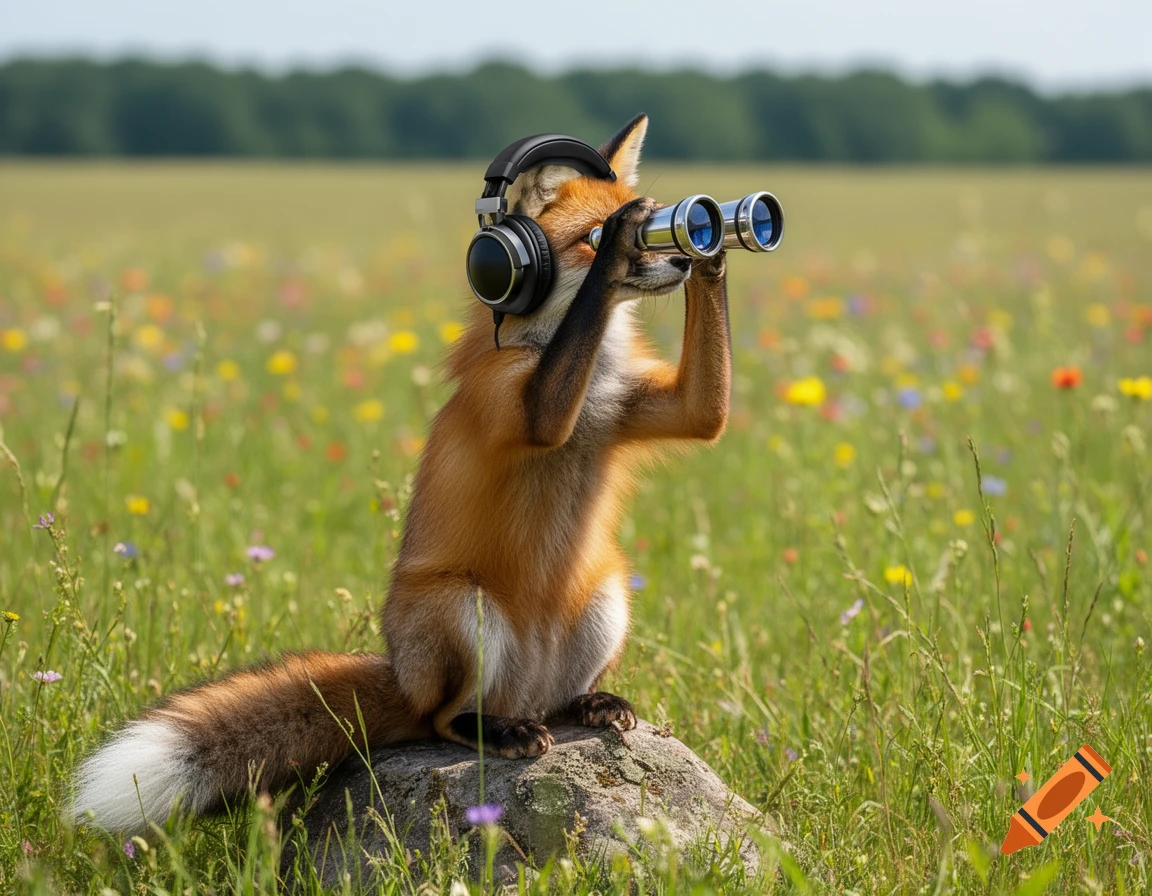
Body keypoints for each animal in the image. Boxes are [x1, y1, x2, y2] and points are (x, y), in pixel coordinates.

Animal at [72, 112, 732, 834]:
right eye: (594, 237)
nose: (681, 258)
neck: (588, 377)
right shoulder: (515, 404)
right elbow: (545, 410)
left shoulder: (649, 406)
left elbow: (705, 414)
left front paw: (718, 249)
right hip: (462, 610)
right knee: (443, 720)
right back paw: (492, 730)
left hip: (606, 595)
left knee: (550, 703)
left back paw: (586, 706)